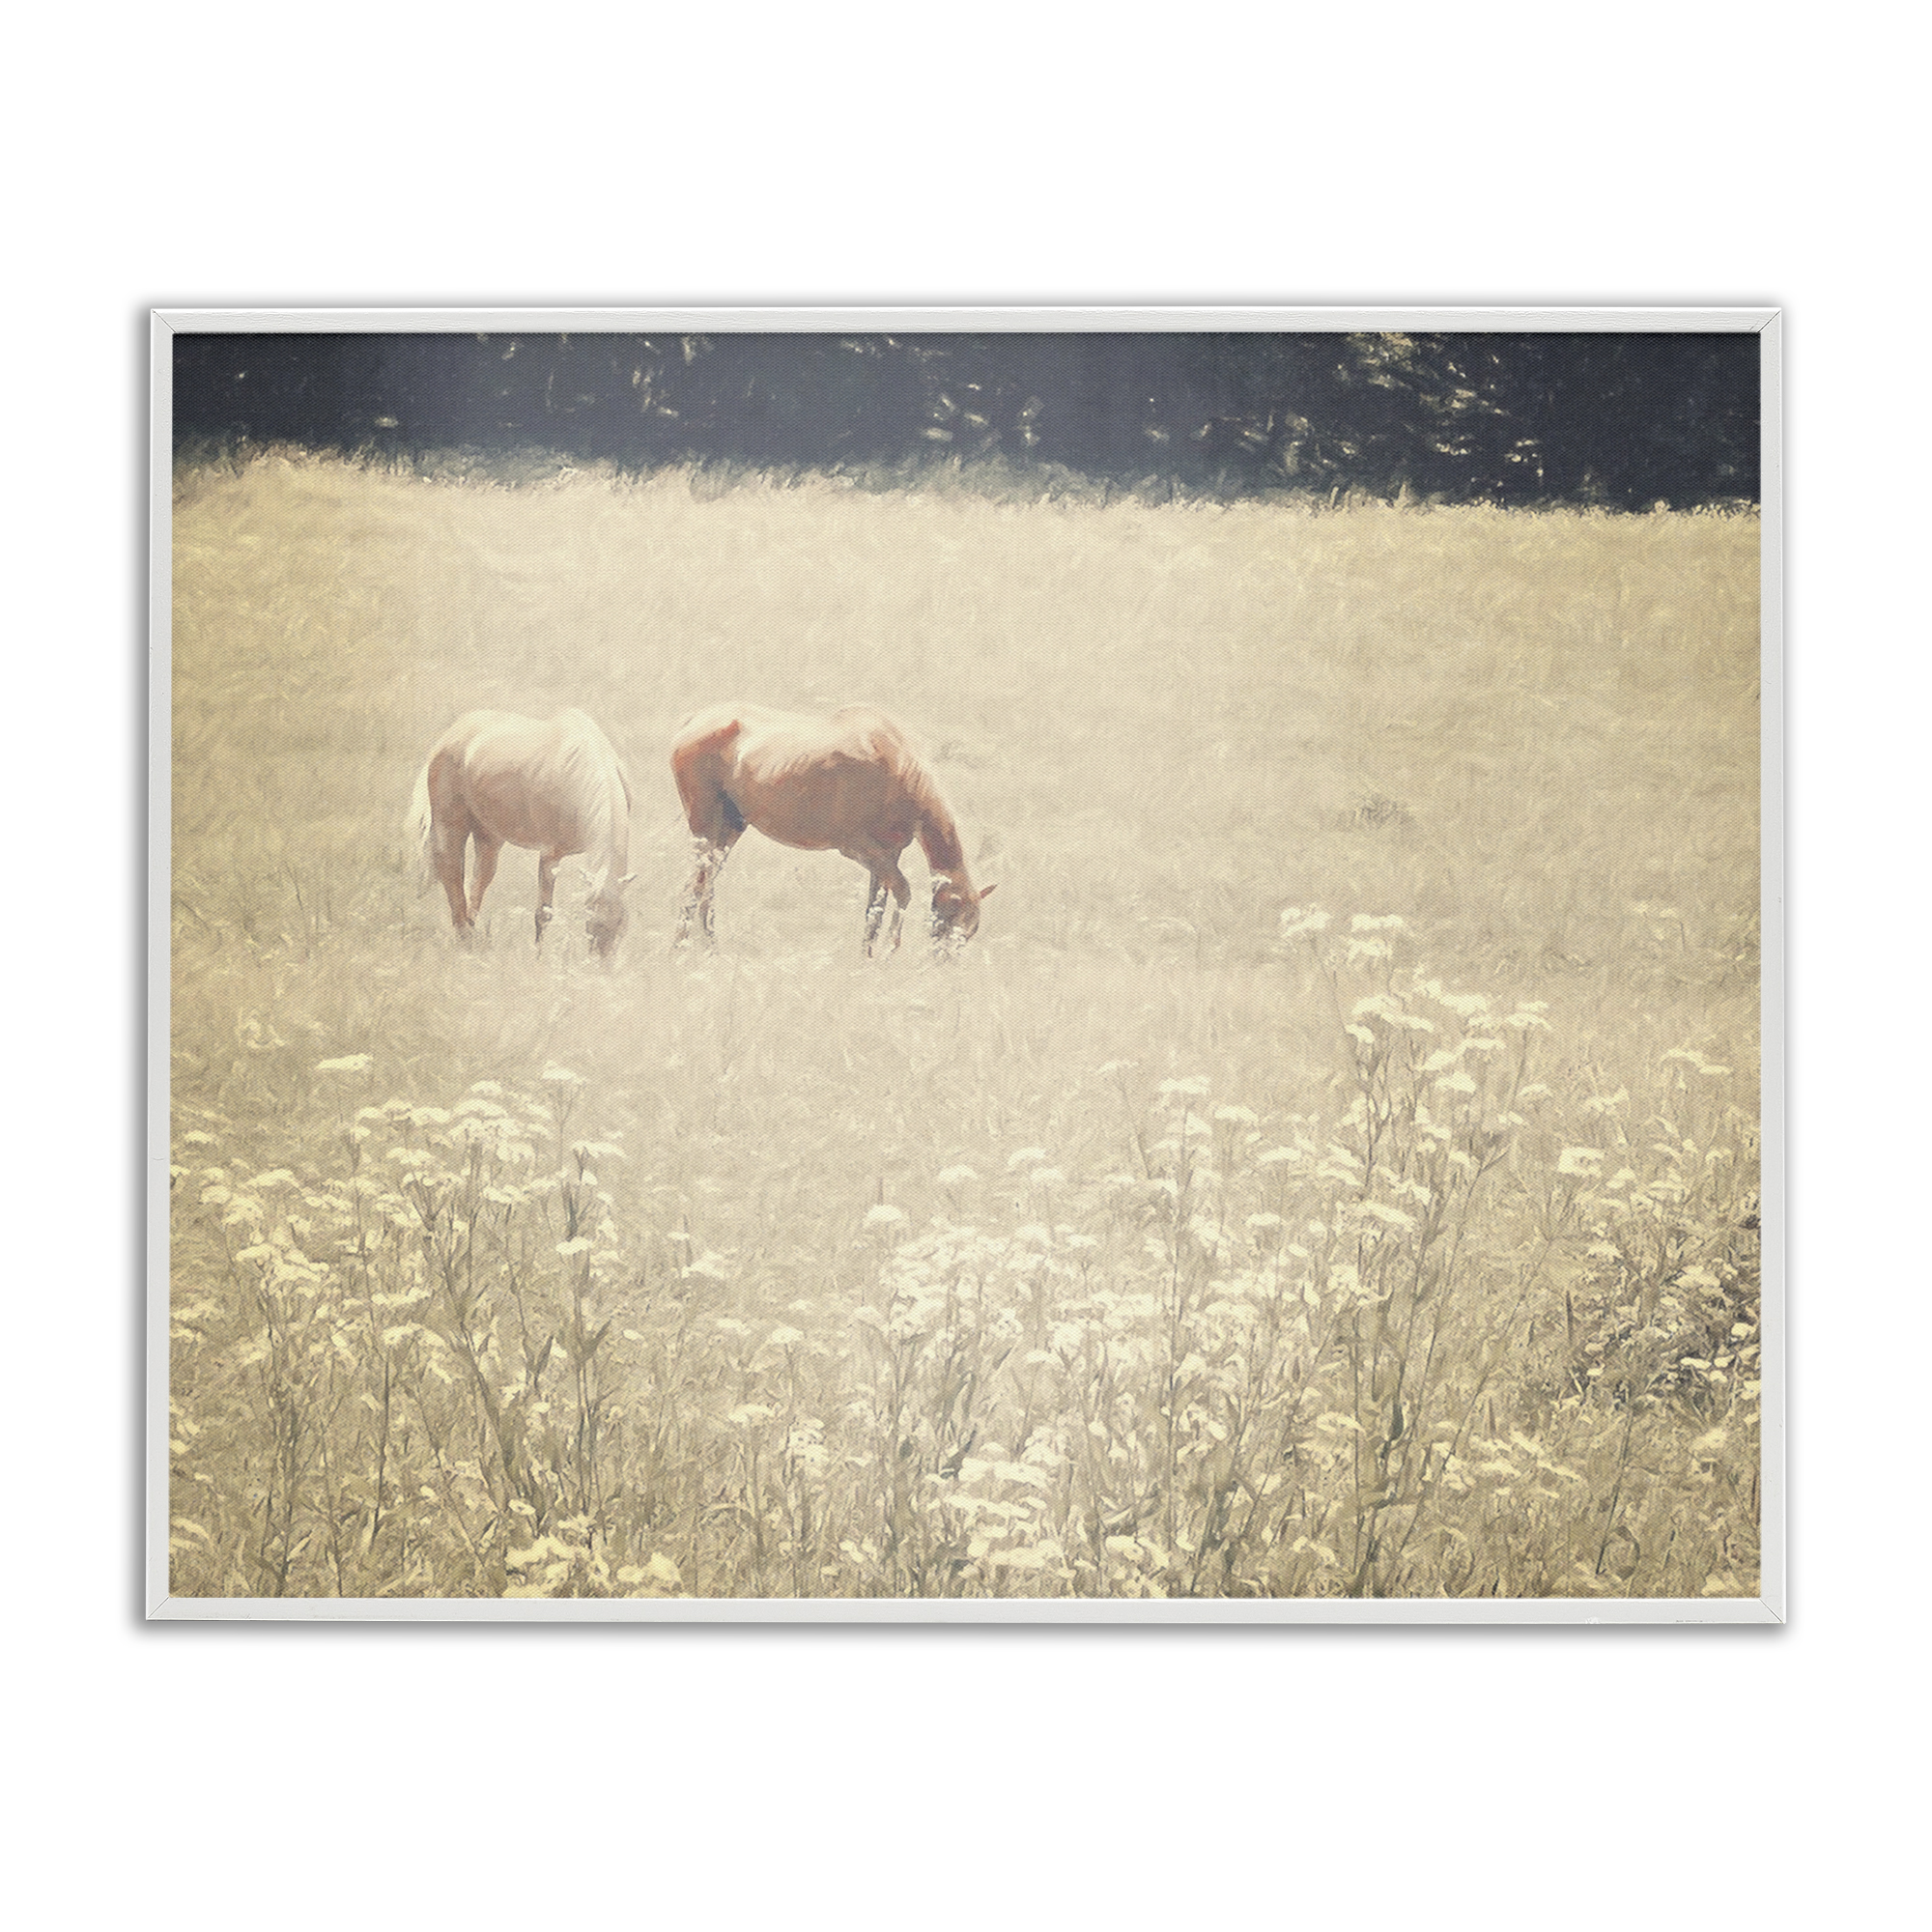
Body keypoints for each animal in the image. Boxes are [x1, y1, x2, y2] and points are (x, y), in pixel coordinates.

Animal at [408, 709, 635, 957]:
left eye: (622, 924)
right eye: (593, 924)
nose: (601, 963)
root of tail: (453, 732)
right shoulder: (550, 855)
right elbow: (543, 913)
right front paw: (538, 957)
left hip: (488, 835)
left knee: (478, 881)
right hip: (450, 824)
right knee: (451, 872)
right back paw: (464, 941)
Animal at [668, 703, 994, 956]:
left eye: (972, 928)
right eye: (951, 917)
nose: (943, 962)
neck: (889, 755)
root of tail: (692, 722)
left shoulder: (889, 854)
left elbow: (874, 906)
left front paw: (867, 957)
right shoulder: (858, 848)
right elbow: (903, 891)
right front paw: (890, 951)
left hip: (731, 828)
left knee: (707, 882)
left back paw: (711, 949)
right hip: (705, 824)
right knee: (694, 884)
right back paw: (680, 949)